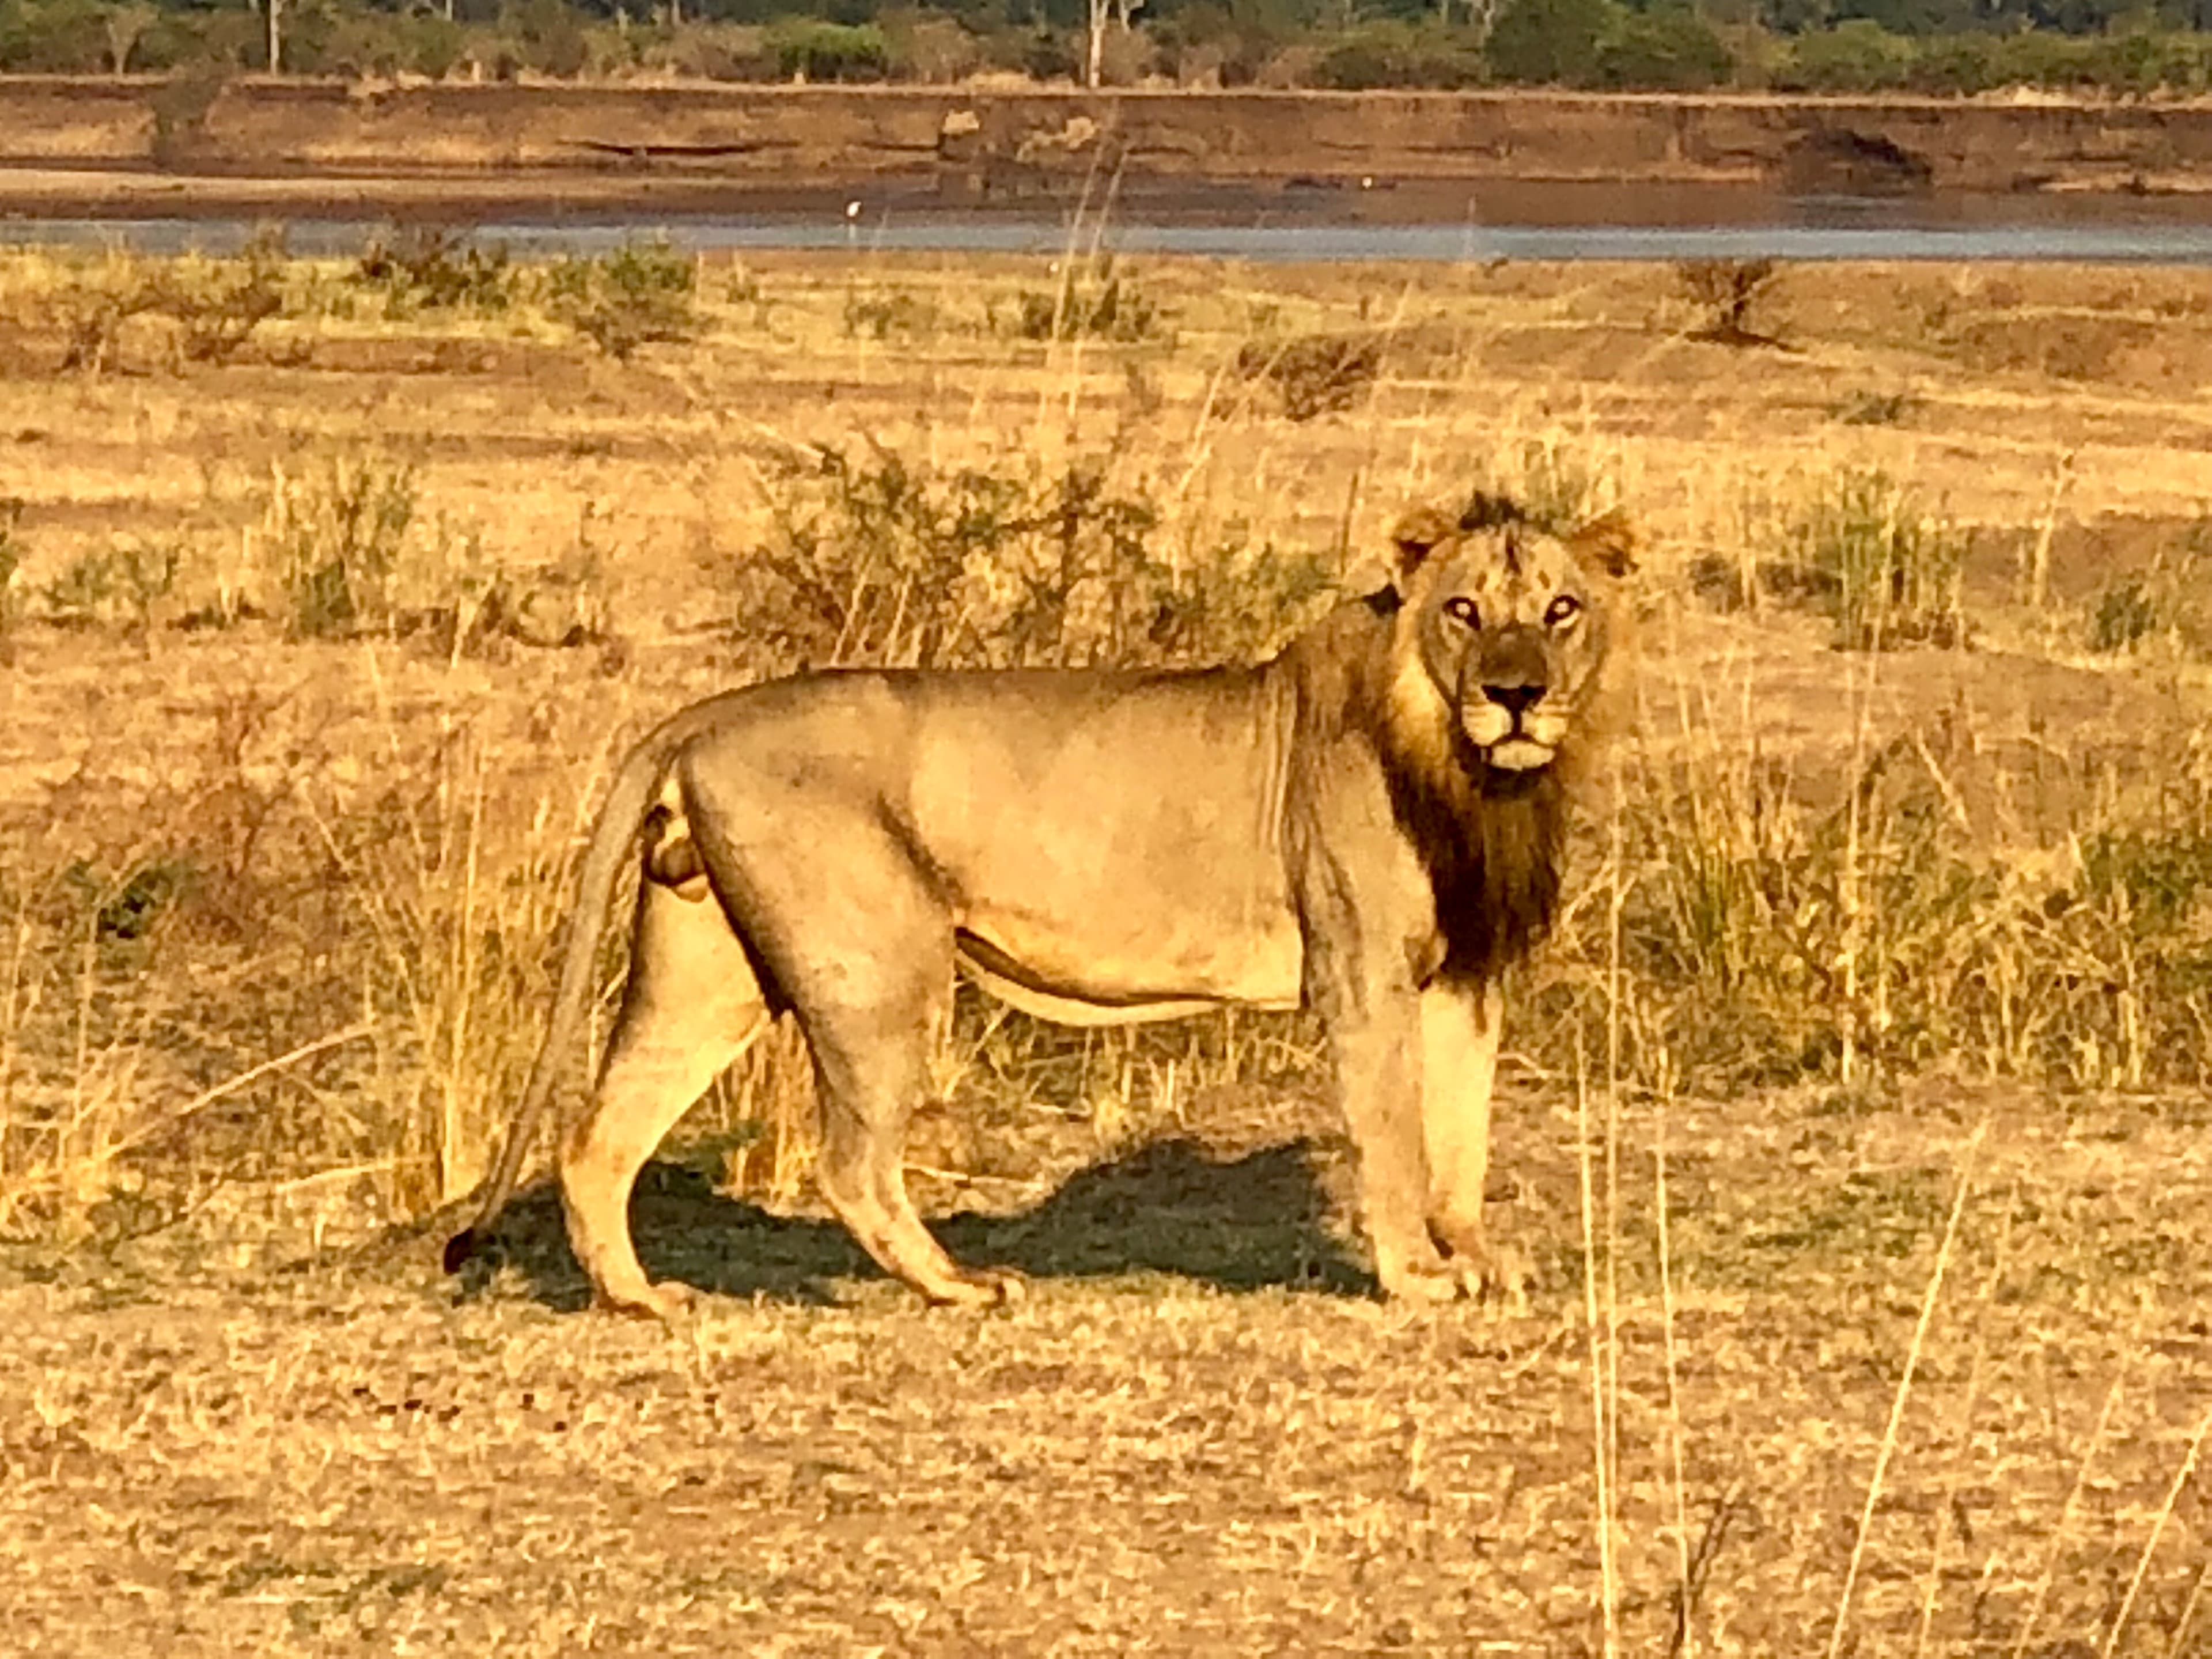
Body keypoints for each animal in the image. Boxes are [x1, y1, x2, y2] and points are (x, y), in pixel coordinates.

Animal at [444, 493, 1635, 1316]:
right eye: (1465, 611)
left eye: (1561, 611)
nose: (1517, 694)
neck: (1480, 781)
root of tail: (702, 714)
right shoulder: (1363, 971)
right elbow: (1394, 1128)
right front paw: (1416, 1275)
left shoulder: (1467, 977)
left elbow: (1463, 1131)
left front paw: (1473, 1256)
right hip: (881, 970)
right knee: (850, 1162)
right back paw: (959, 1286)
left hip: (709, 971)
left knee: (600, 1135)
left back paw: (640, 1299)